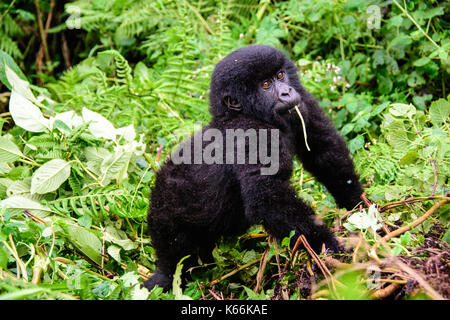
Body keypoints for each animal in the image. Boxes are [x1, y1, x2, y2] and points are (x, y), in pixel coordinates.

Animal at [143, 45, 362, 292]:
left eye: (280, 75)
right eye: (265, 85)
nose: (286, 92)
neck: (241, 113)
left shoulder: (302, 102)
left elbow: (323, 150)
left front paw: (358, 203)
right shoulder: (253, 135)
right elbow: (268, 198)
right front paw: (327, 245)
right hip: (165, 215)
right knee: (175, 258)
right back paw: (164, 277)